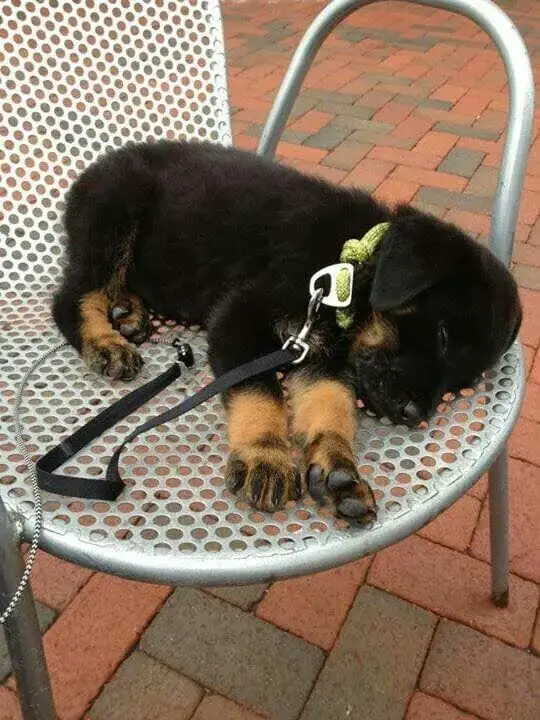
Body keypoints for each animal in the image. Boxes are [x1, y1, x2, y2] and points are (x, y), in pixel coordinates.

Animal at [52, 139, 520, 524]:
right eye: (443, 336)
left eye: (458, 383)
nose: (414, 415)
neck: (345, 268)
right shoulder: (239, 317)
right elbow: (260, 391)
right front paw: (267, 457)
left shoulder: (321, 355)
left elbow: (332, 404)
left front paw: (338, 469)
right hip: (116, 211)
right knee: (73, 295)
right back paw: (104, 342)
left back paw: (127, 309)